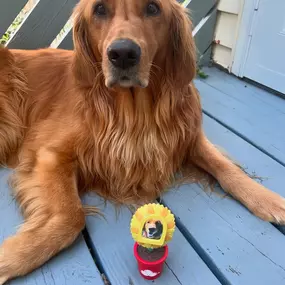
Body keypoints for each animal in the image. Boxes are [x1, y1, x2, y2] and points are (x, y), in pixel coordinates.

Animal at [0, 0, 284, 280]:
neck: (136, 113)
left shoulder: (188, 138)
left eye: (153, 8)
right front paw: (12, 257)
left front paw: (266, 199)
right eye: (99, 9)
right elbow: (71, 216)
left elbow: (225, 167)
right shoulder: (48, 153)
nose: (123, 54)